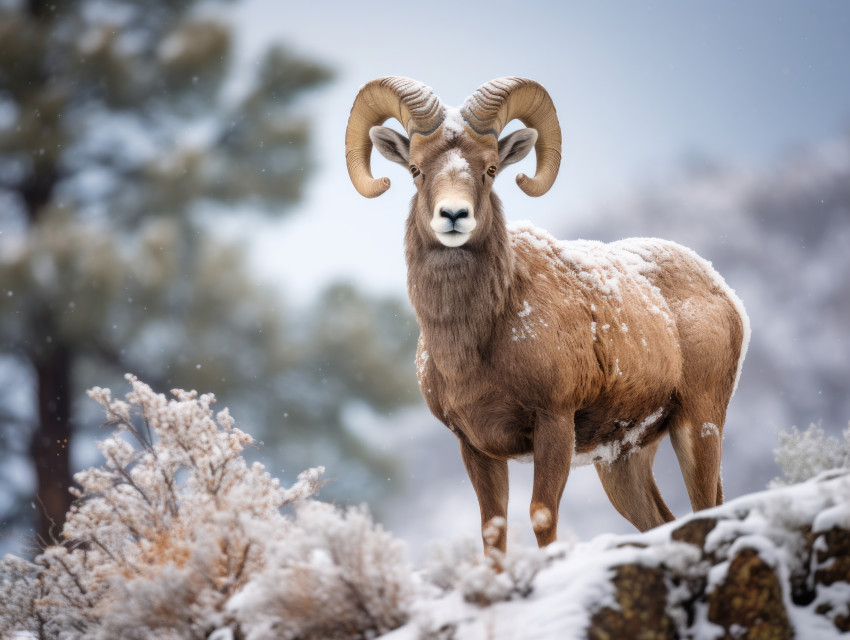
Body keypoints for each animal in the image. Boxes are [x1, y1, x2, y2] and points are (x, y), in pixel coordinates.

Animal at [344, 76, 750, 554]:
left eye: (489, 170)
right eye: (415, 169)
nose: (454, 215)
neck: (478, 340)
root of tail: (723, 293)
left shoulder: (554, 423)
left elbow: (542, 517)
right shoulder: (474, 445)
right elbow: (493, 528)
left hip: (699, 424)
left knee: (706, 505)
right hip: (623, 461)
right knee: (661, 521)